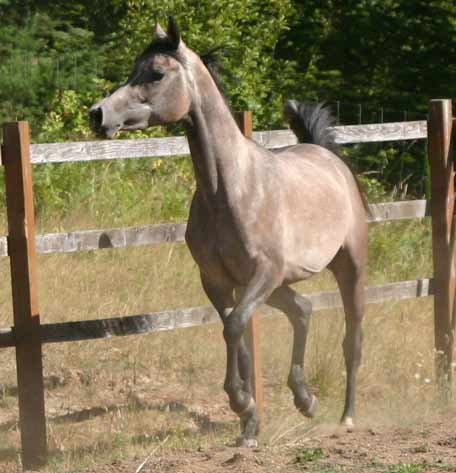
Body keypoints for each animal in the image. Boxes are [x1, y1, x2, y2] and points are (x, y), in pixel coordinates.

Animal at [91, 17, 368, 446]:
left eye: (156, 74)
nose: (98, 114)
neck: (230, 189)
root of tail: (327, 157)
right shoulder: (220, 280)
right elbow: (234, 336)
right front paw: (249, 422)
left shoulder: (262, 274)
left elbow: (236, 326)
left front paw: (240, 403)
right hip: (280, 284)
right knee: (302, 310)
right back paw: (305, 399)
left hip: (347, 266)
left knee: (352, 338)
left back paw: (347, 417)